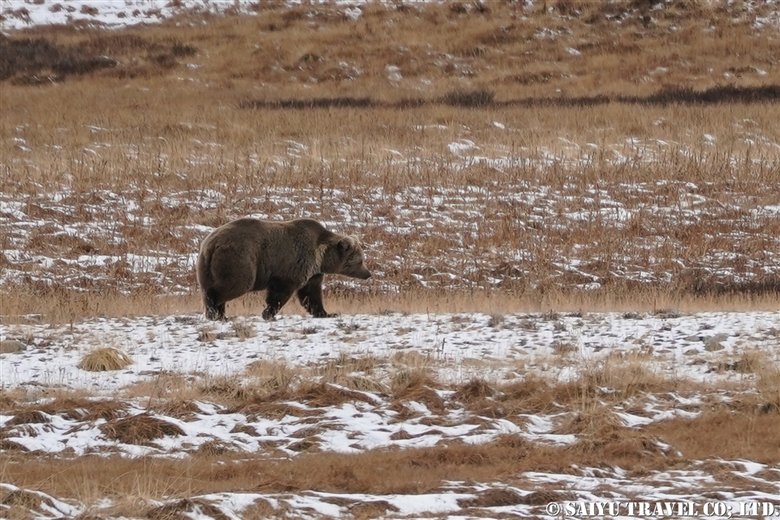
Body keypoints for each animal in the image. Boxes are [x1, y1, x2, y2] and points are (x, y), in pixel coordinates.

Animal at [197, 216, 370, 320]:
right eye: (360, 260)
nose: (368, 273)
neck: (321, 257)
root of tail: (212, 244)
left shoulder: (313, 273)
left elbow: (311, 294)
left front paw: (326, 313)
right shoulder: (292, 264)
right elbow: (281, 292)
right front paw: (269, 313)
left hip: (206, 266)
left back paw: (219, 314)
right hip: (239, 259)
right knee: (235, 284)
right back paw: (215, 311)